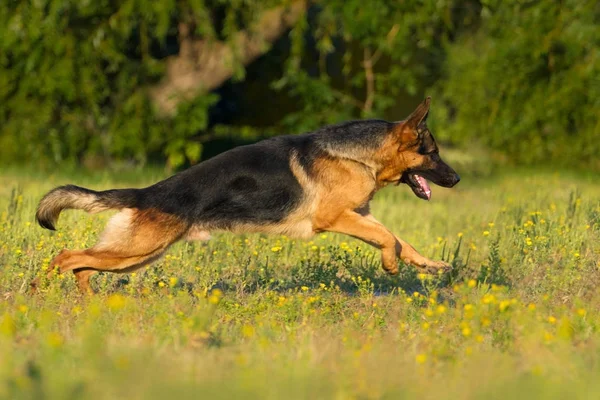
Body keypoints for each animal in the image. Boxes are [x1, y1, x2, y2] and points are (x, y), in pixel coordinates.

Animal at [34, 98, 460, 292]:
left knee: (82, 266)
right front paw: (391, 265)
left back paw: (89, 303)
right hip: (135, 251)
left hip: (135, 256)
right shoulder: (335, 218)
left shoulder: (360, 215)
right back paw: (42, 292)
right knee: (65, 256)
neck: (357, 156)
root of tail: (144, 192)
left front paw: (428, 265)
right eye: (434, 153)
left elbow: (400, 239)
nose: (456, 179)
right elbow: (389, 238)